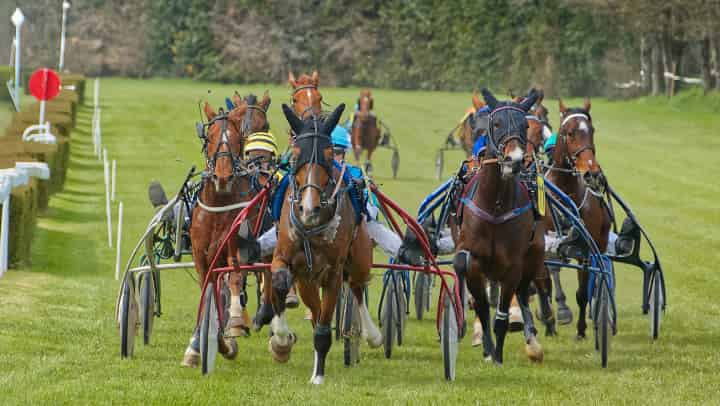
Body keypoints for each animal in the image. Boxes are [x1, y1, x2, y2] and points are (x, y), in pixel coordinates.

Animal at [181, 92, 272, 368]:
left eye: (234, 137)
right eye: (209, 137)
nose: (222, 176)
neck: (219, 202)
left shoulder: (235, 247)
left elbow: (234, 277)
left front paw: (234, 324)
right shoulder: (201, 256)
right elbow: (207, 290)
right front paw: (202, 343)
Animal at [268, 103, 386, 386]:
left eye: (329, 153)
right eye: (296, 154)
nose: (308, 208)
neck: (312, 227)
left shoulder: (333, 272)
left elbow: (324, 328)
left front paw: (319, 377)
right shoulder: (287, 259)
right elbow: (278, 282)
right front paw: (281, 341)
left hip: (359, 258)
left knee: (356, 287)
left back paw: (372, 334)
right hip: (307, 280)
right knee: (317, 309)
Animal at [450, 87, 556, 364]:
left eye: (524, 124)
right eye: (495, 124)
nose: (514, 159)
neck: (495, 206)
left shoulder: (513, 264)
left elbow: (502, 315)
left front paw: (497, 356)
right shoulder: (474, 259)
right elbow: (482, 306)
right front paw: (486, 346)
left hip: (533, 254)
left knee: (525, 291)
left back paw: (531, 338)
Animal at [544, 99, 612, 340]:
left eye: (591, 130)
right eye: (570, 132)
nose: (592, 172)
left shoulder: (585, 249)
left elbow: (583, 292)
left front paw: (581, 329)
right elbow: (549, 278)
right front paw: (557, 315)